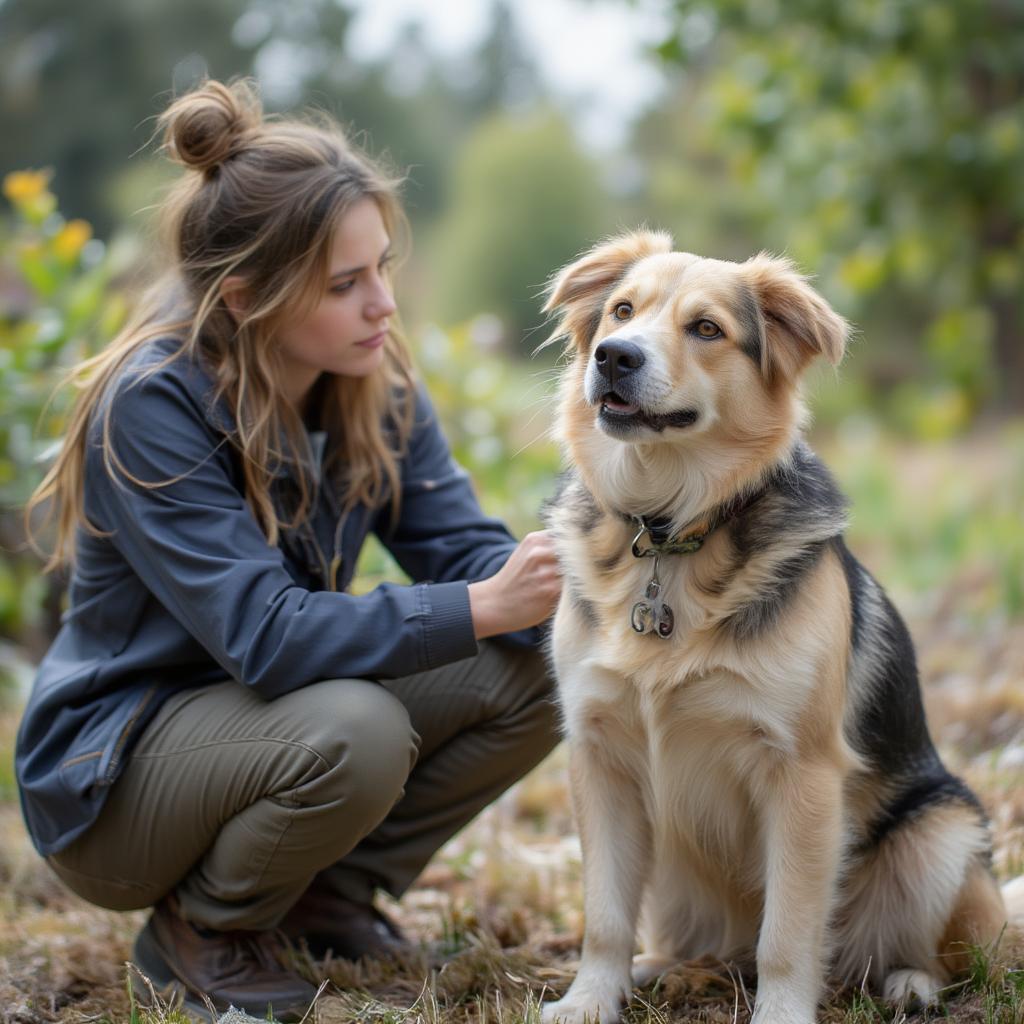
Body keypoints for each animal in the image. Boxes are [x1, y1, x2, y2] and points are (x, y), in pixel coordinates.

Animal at [540, 232, 1011, 1024]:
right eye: (621, 311)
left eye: (706, 329)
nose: (613, 356)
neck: (670, 537)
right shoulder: (599, 757)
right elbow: (604, 912)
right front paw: (591, 998)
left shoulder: (803, 774)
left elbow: (788, 932)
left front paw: (782, 1011)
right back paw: (665, 966)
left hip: (939, 835)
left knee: (936, 954)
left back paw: (910, 982)